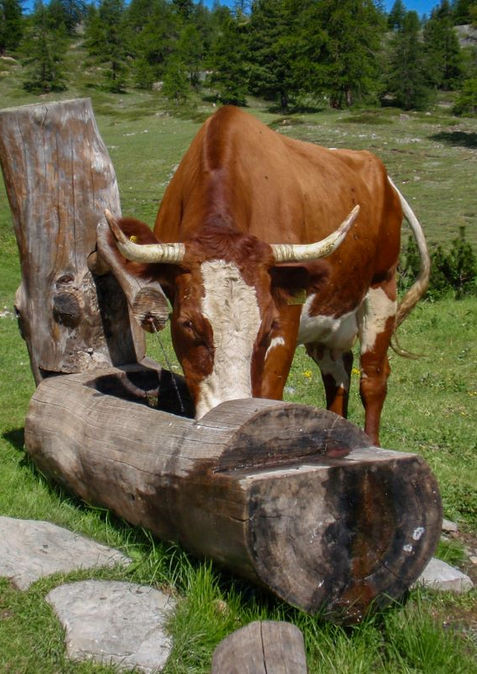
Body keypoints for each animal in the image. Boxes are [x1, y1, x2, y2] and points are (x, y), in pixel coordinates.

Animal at [105, 105, 429, 446]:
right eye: (188, 324)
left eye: (266, 327)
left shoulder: (285, 319)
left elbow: (269, 394)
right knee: (338, 375)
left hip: (382, 287)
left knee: (373, 379)